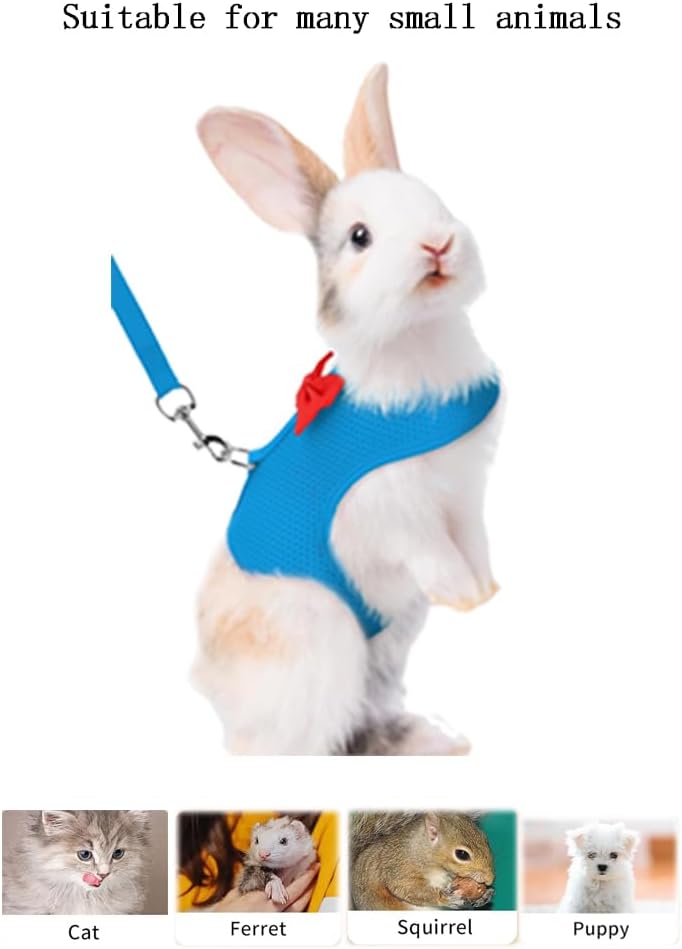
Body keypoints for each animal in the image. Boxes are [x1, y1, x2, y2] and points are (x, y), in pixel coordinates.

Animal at [192, 64, 504, 755]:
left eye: (431, 198)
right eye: (359, 238)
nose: (438, 244)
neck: (416, 338)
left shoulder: (462, 493)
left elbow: (472, 540)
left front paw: (486, 590)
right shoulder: (396, 508)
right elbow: (434, 550)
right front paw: (464, 595)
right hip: (325, 642)